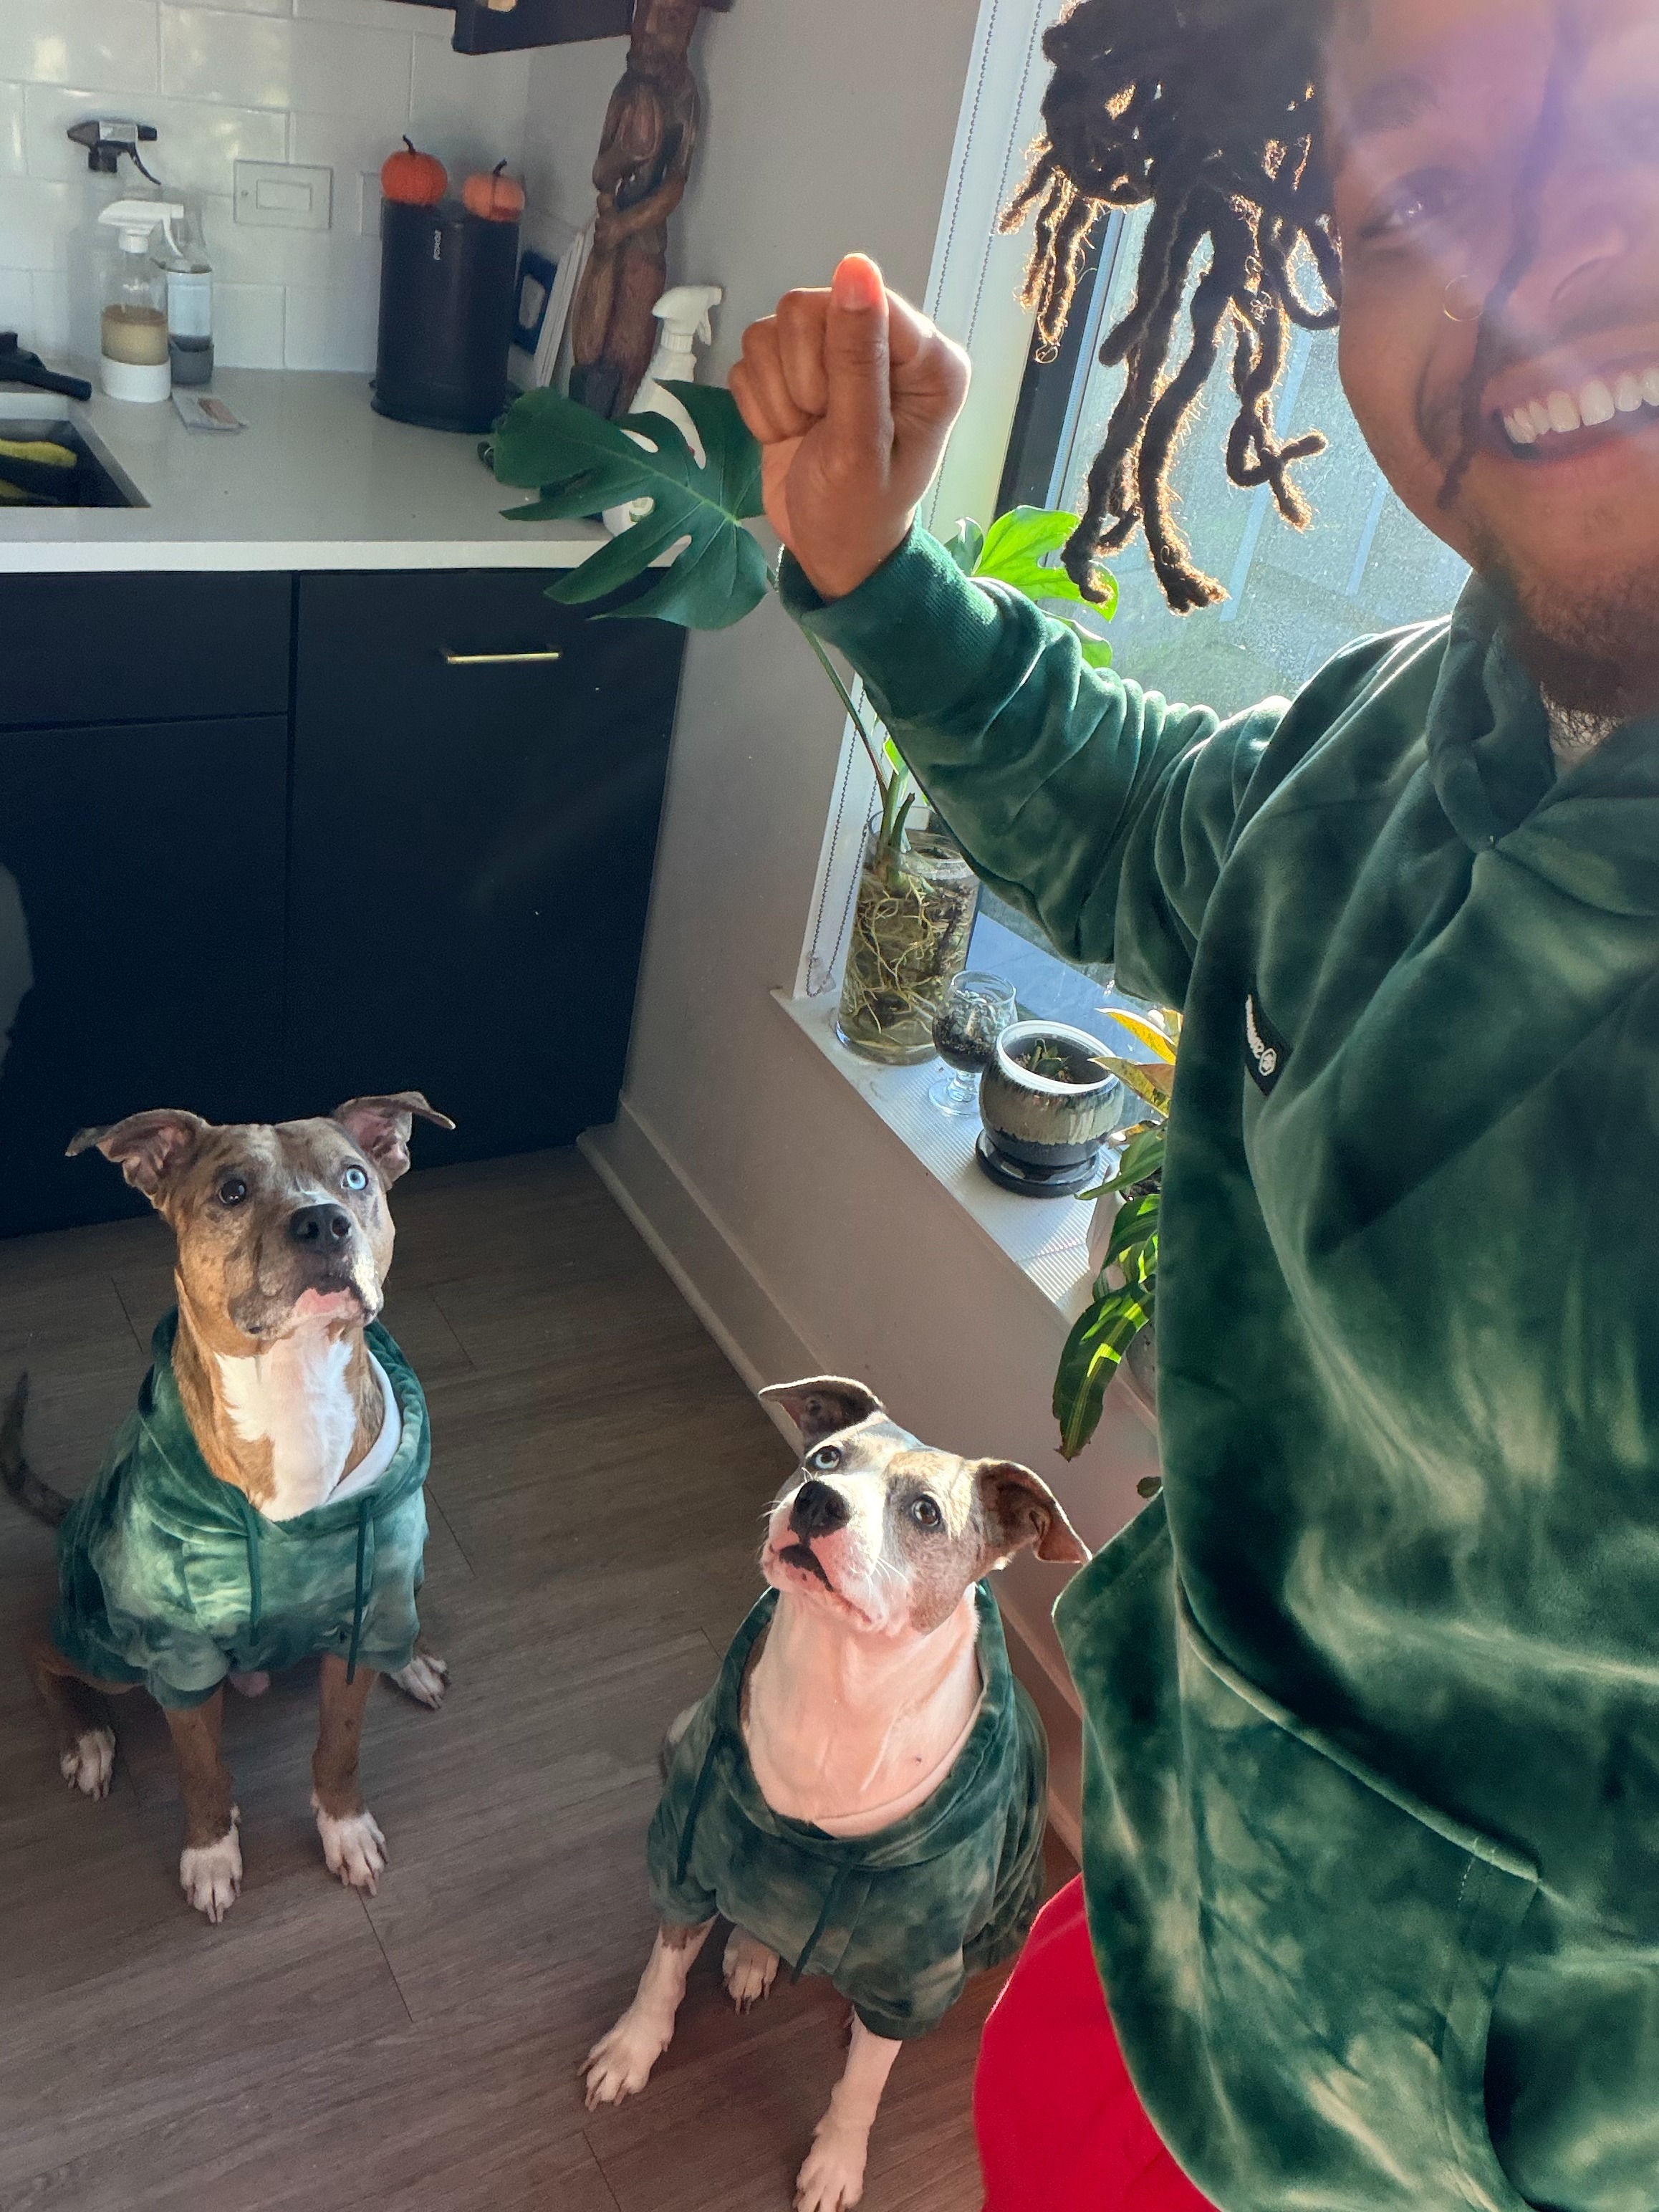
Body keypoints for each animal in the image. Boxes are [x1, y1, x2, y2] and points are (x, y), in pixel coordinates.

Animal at [4, 1092, 452, 1923]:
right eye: (233, 1191)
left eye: (354, 1178)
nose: (324, 1223)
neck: (296, 1386)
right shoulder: (179, 1658)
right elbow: (203, 1770)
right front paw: (211, 1853)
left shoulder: (363, 1614)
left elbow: (339, 1747)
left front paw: (344, 1828)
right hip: (109, 1645)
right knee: (37, 1647)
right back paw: (86, 1738)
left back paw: (412, 1660)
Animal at [582, 1376, 1089, 2212]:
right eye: (825, 1457)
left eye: (925, 1512)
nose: (817, 1501)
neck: (836, 1686)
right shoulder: (686, 1856)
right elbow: (664, 1972)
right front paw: (630, 2050)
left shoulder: (912, 1971)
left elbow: (861, 2087)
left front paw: (836, 2162)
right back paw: (753, 1952)